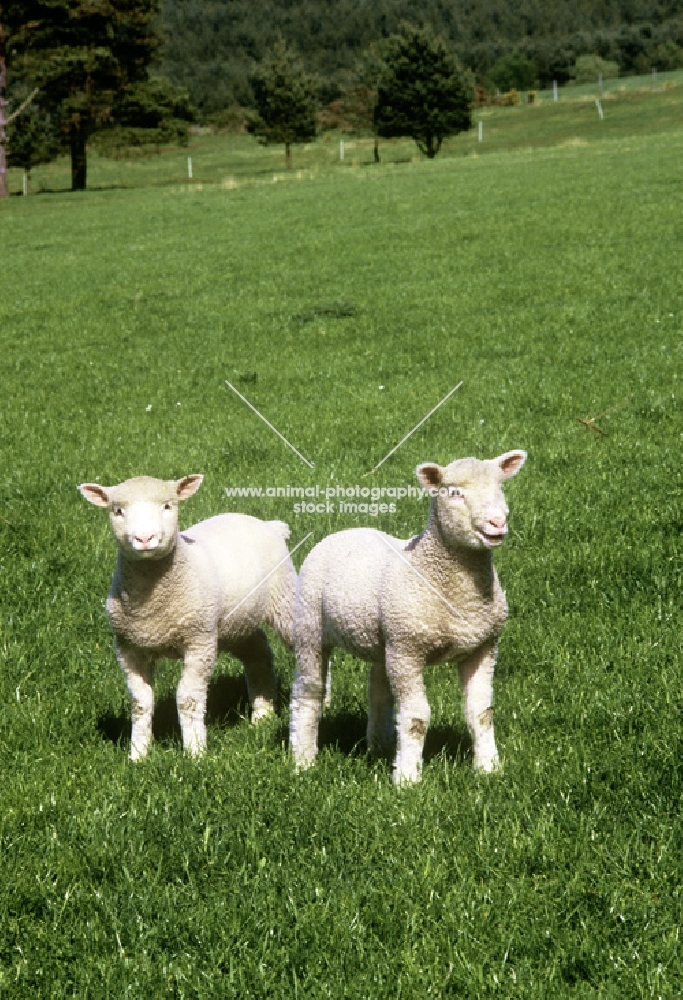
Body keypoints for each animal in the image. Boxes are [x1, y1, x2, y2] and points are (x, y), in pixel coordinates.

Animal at [79, 476, 296, 756]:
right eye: (118, 511)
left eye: (167, 506)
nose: (144, 538)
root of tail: (269, 525)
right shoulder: (128, 648)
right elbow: (140, 702)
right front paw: (137, 754)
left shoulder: (199, 641)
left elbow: (188, 699)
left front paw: (195, 752)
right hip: (235, 623)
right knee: (258, 654)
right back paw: (262, 714)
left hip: (284, 599)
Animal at [292, 450, 528, 784]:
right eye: (454, 493)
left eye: (500, 486)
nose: (497, 522)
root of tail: (347, 530)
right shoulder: (408, 652)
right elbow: (416, 718)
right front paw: (407, 779)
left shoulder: (483, 648)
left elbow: (482, 712)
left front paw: (489, 768)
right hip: (311, 629)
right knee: (309, 692)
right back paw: (303, 759)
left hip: (385, 641)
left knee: (378, 690)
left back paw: (379, 746)